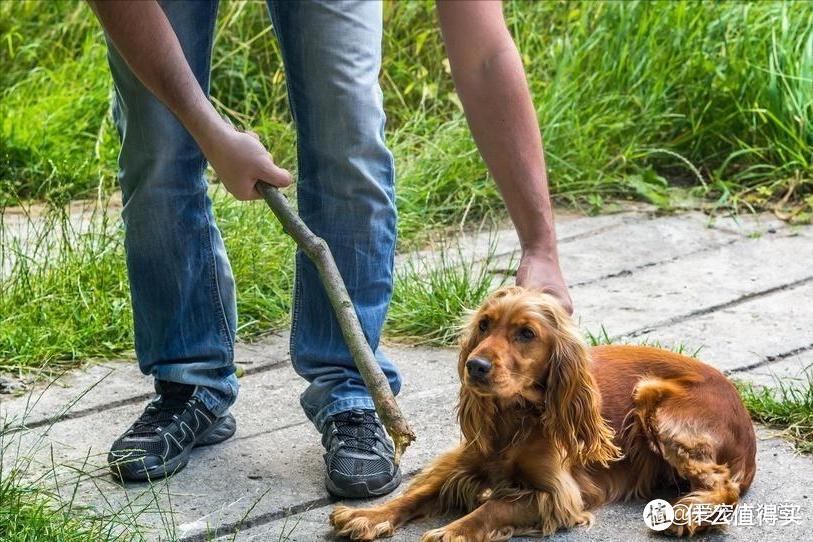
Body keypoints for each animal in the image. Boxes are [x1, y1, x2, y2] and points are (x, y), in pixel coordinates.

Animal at [328, 286, 756, 540]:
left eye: (526, 333)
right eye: (484, 325)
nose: (475, 367)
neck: (515, 418)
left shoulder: (559, 494)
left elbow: (494, 505)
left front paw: (452, 531)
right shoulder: (463, 462)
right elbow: (419, 491)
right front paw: (371, 515)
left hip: (654, 400)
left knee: (724, 485)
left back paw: (690, 514)